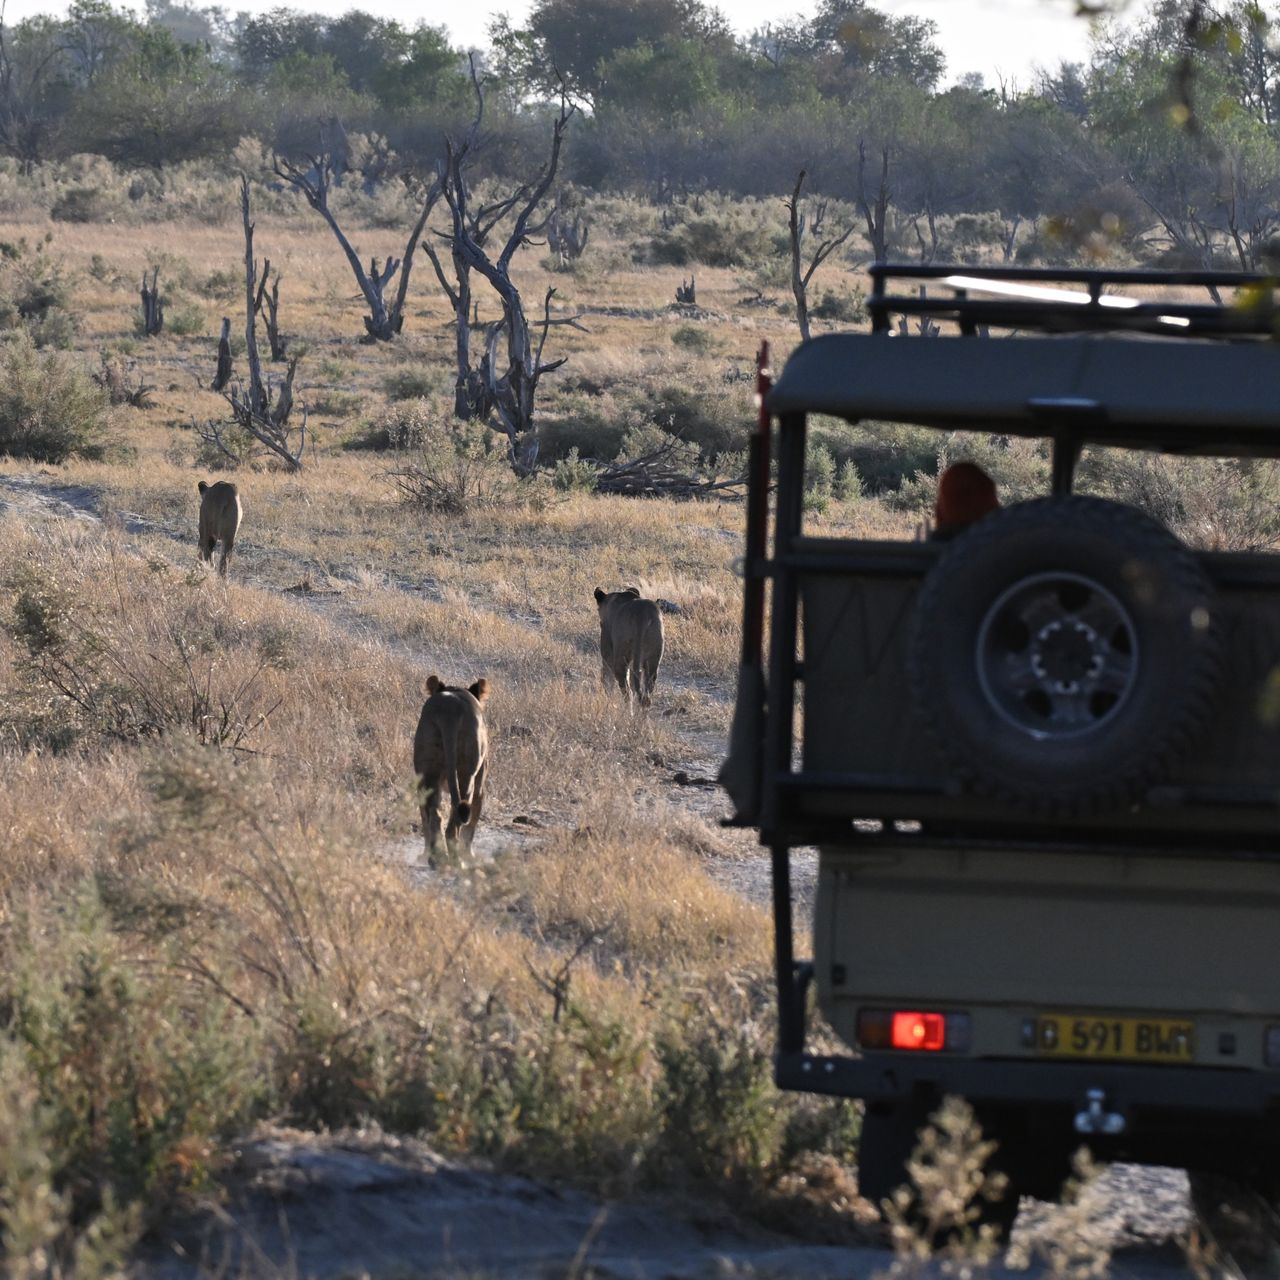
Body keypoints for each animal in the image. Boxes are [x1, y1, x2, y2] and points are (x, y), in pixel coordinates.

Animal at [413, 674, 490, 864]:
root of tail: (450, 709)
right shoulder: (480, 786)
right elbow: (471, 826)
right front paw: (469, 855)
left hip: (428, 770)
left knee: (434, 816)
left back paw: (435, 857)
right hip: (466, 774)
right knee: (455, 820)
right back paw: (456, 861)